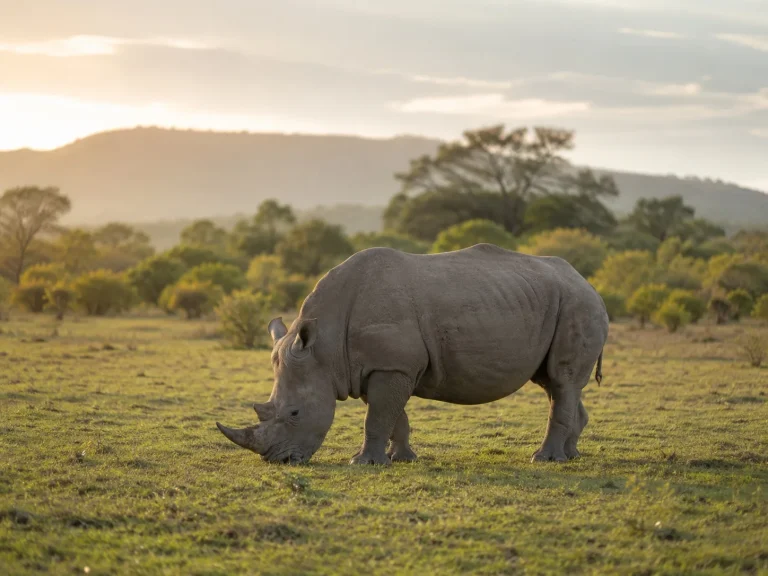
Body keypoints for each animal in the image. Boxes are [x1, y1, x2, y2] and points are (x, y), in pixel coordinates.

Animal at [216, 244, 608, 465]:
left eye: (295, 413)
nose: (278, 462)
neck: (323, 348)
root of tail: (588, 282)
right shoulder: (375, 367)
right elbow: (393, 417)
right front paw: (399, 459)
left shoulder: (390, 366)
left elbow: (377, 417)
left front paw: (363, 463)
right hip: (561, 302)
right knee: (555, 384)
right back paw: (571, 455)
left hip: (578, 304)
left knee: (561, 380)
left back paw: (545, 460)